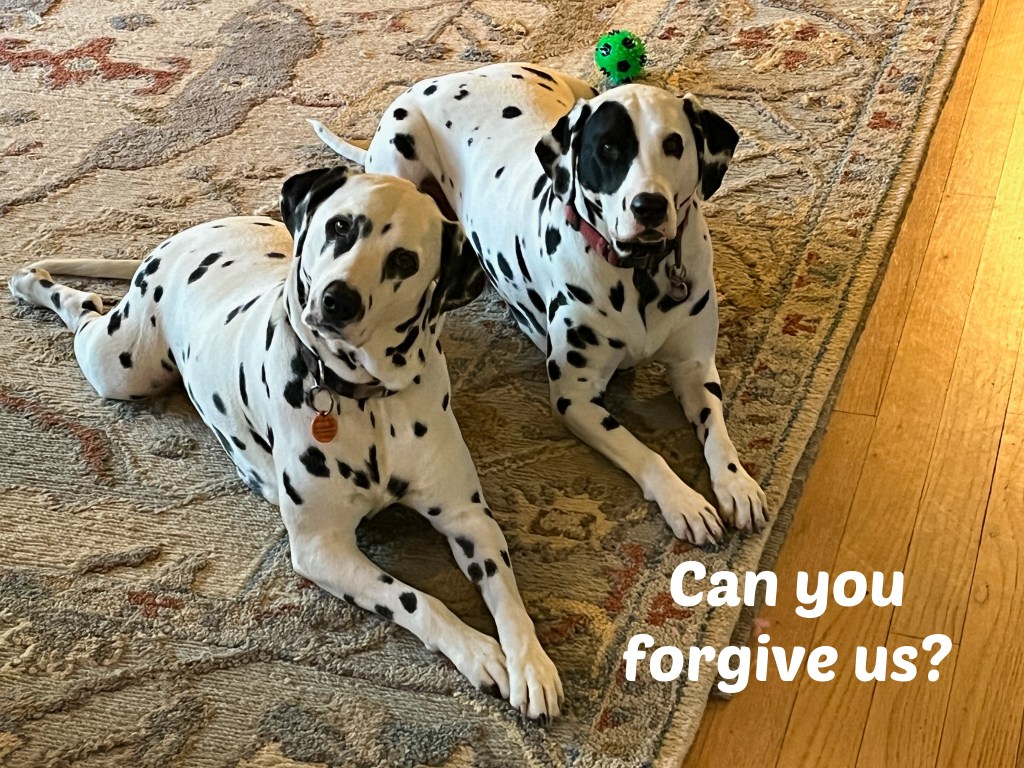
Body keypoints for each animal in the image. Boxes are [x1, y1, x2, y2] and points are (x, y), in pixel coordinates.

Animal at [8, 168, 563, 720]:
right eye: (340, 226)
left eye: (405, 260)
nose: (338, 300)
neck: (365, 400)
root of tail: (179, 239)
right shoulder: (321, 548)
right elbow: (415, 598)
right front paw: (475, 650)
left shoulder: (469, 519)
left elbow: (507, 594)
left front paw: (530, 662)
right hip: (120, 366)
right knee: (81, 308)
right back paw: (30, 282)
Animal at [310, 63, 768, 546]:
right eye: (607, 148)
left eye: (674, 145)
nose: (649, 206)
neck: (640, 275)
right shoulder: (574, 398)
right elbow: (644, 452)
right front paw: (683, 500)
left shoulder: (695, 368)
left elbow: (718, 431)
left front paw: (737, 483)